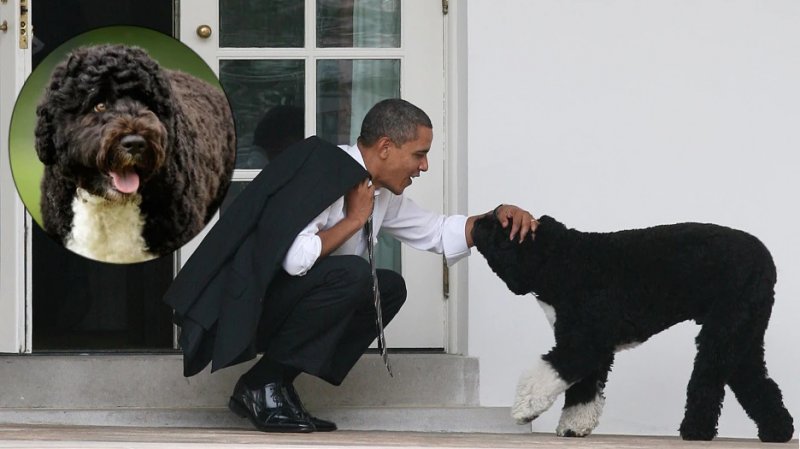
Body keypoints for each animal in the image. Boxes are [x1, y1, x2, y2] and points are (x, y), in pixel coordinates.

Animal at [472, 214, 792, 440]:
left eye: (499, 226)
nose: (475, 221)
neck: (562, 260)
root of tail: (766, 260)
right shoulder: (591, 346)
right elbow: (583, 390)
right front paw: (574, 426)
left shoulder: (584, 342)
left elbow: (547, 372)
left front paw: (525, 410)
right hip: (743, 333)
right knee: (756, 382)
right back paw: (778, 431)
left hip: (723, 331)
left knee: (708, 381)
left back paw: (695, 431)